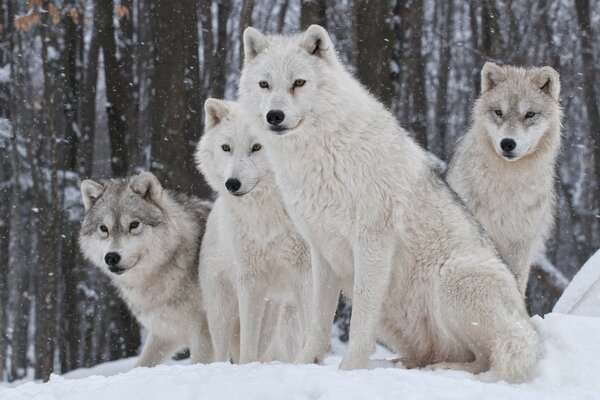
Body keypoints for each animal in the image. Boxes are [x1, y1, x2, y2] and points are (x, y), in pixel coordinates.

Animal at [78, 170, 212, 368]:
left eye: (134, 224)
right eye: (104, 228)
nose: (111, 257)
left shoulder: (204, 331)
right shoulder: (166, 332)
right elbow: (142, 364)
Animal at [239, 24, 544, 382]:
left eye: (298, 83)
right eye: (265, 84)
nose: (274, 116)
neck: (320, 154)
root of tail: (526, 323)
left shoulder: (372, 242)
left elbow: (360, 322)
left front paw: (350, 370)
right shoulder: (321, 249)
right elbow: (317, 322)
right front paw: (305, 364)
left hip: (452, 278)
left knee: (487, 357)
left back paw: (443, 369)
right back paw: (403, 364)